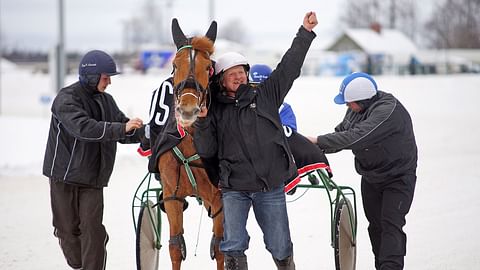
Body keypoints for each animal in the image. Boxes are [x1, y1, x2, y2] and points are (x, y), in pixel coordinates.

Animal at [158, 19, 225, 270]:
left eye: (208, 68)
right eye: (175, 65)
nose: (188, 110)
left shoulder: (219, 198)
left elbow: (221, 246)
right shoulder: (172, 195)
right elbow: (176, 246)